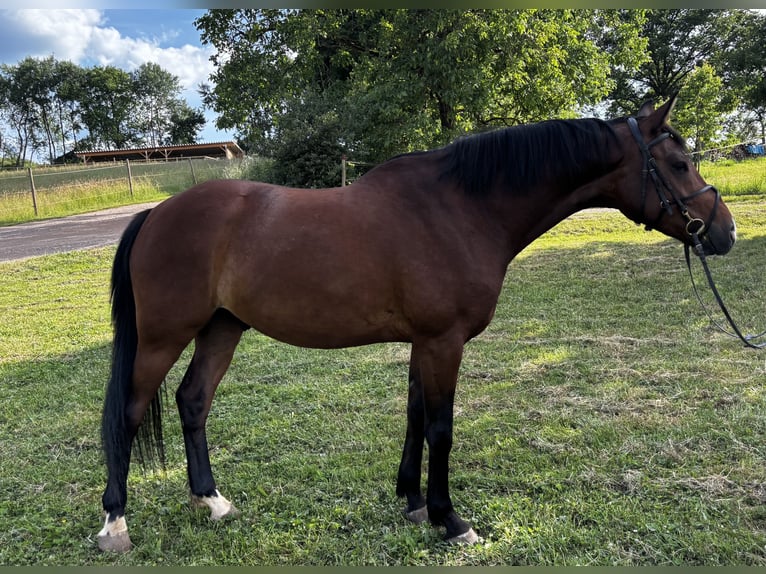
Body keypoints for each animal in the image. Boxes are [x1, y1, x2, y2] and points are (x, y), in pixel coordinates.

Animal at [96, 95, 737, 552]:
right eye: (679, 163)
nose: (724, 232)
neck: (460, 208)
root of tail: (156, 213)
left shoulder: (421, 343)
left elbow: (412, 418)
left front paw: (411, 500)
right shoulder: (443, 341)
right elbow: (440, 428)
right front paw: (451, 519)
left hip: (222, 327)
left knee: (193, 401)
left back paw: (213, 502)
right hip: (162, 337)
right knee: (129, 414)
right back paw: (114, 524)